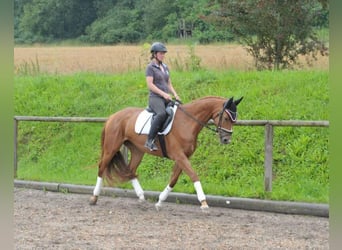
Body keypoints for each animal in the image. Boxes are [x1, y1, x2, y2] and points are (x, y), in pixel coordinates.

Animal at [88, 95, 243, 211]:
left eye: (234, 120)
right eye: (226, 118)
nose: (226, 140)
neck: (187, 122)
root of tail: (113, 116)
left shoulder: (183, 157)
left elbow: (173, 179)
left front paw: (160, 202)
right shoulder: (179, 156)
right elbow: (193, 175)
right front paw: (204, 202)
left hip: (137, 151)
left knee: (130, 170)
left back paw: (141, 197)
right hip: (111, 147)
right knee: (102, 167)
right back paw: (94, 198)